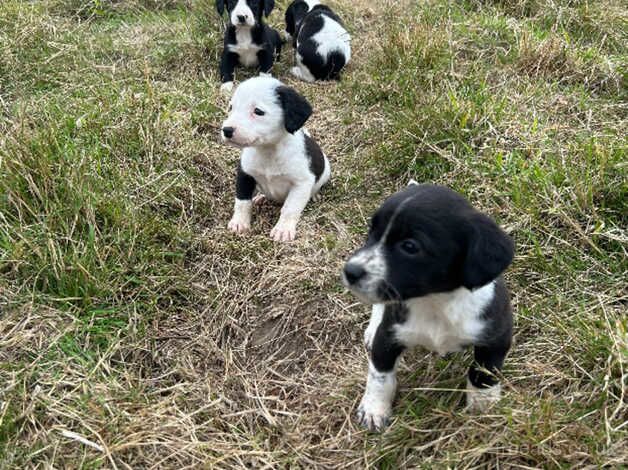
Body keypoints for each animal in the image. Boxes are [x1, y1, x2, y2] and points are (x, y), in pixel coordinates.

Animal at [221, 76, 332, 242]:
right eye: (231, 108)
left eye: (258, 111)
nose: (226, 130)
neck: (268, 151)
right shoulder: (244, 174)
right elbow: (242, 201)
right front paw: (240, 222)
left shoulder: (301, 184)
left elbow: (290, 208)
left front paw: (283, 229)